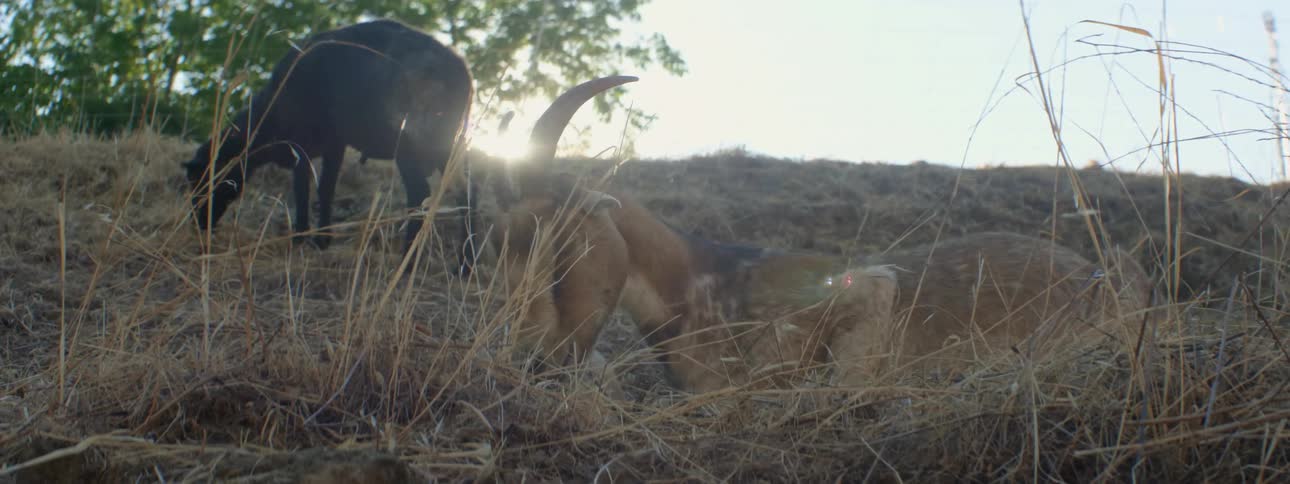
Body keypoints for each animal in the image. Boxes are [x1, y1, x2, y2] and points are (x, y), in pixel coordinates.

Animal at [182, 19, 477, 274]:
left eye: (201, 181)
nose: (199, 224)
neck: (267, 119)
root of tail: (461, 72)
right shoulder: (334, 144)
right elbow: (326, 189)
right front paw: (322, 239)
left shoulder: (300, 143)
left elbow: (303, 189)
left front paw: (301, 236)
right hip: (446, 143)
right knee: (467, 192)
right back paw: (465, 264)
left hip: (410, 141)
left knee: (419, 193)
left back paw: (408, 262)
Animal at [491, 76, 1155, 394]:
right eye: (501, 248)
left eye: (559, 243)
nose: (531, 361)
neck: (699, 288)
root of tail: (1100, 275)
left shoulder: (867, 293)